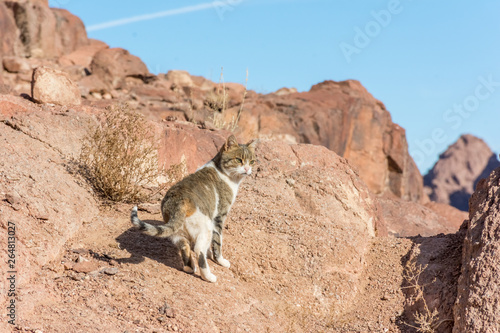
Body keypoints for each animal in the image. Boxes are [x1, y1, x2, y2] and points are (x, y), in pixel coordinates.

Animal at [131, 134, 256, 282]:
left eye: (252, 161)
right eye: (238, 160)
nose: (247, 169)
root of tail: (178, 201)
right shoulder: (219, 217)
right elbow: (217, 242)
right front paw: (220, 260)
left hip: (177, 232)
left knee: (184, 246)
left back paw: (189, 268)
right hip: (206, 226)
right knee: (198, 250)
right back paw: (208, 277)